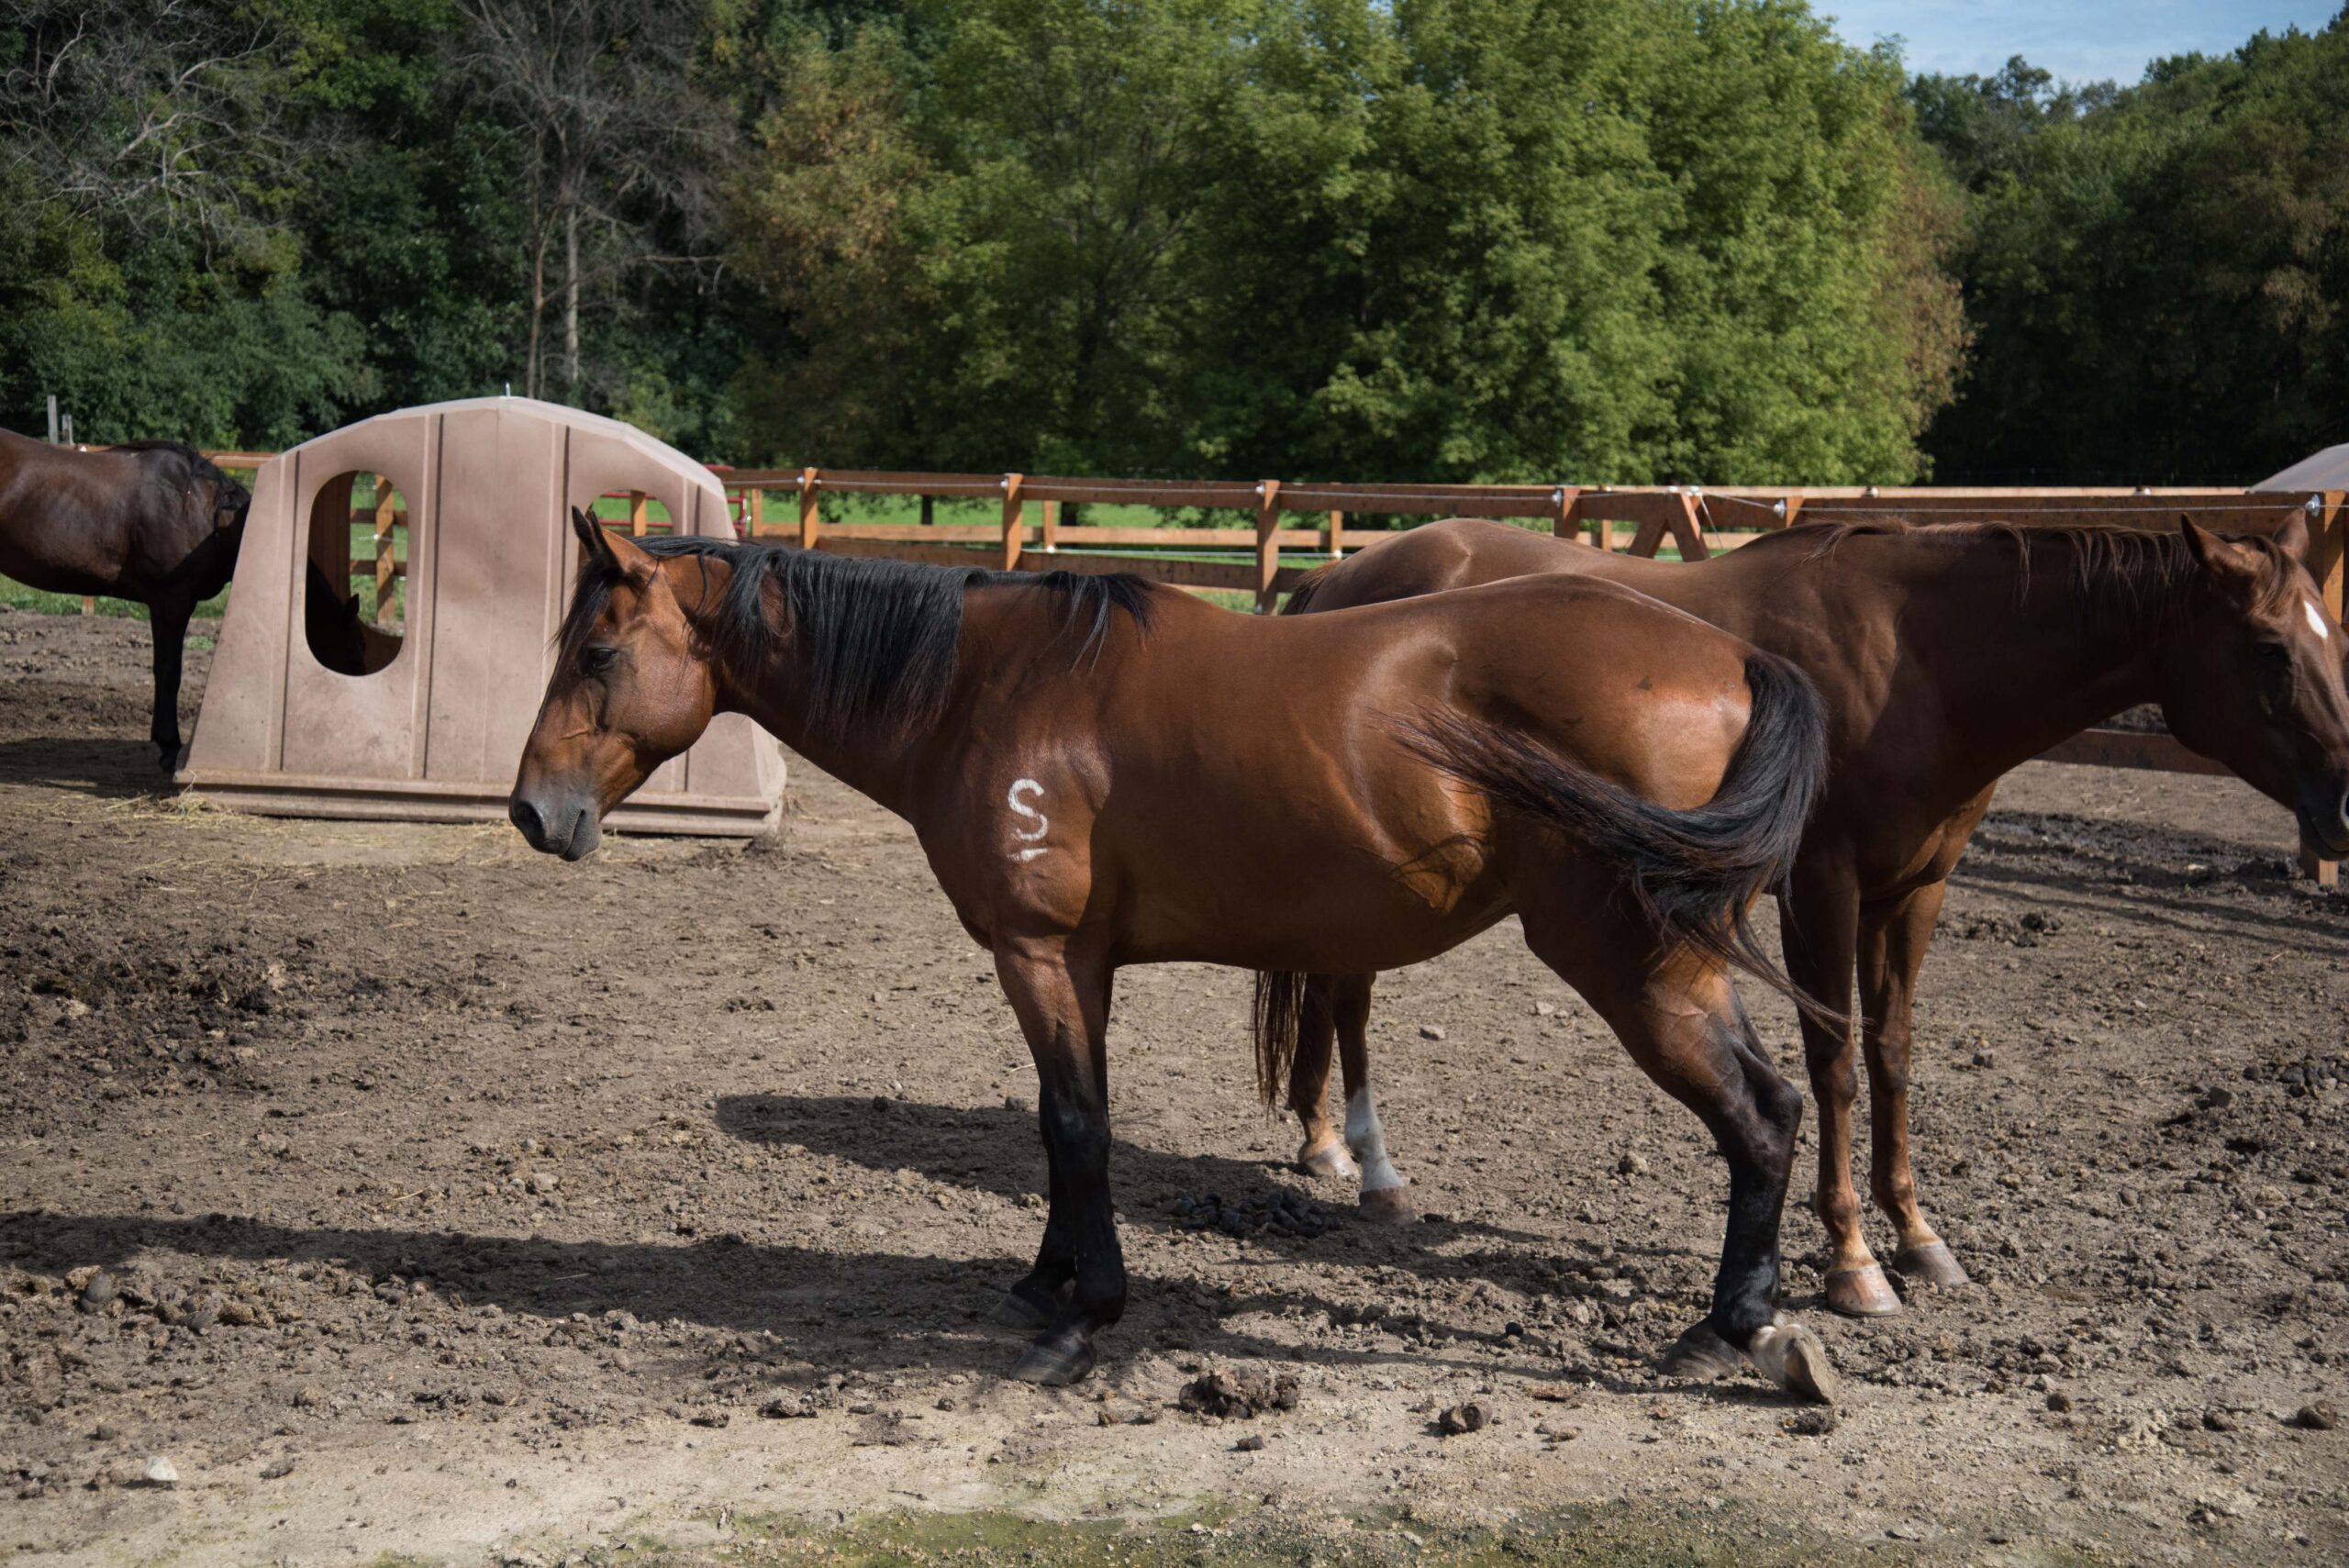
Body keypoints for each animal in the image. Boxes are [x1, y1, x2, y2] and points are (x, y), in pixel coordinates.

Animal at [510, 510, 1849, 1400]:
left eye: (595, 654)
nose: (534, 812)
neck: (984, 685)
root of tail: (1733, 659)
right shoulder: (1083, 966)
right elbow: (1067, 1119)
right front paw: (1050, 1280)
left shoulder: (1041, 954)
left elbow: (1076, 1125)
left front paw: (1083, 1315)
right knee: (1776, 1107)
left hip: (1636, 967)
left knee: (1759, 1115)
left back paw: (1726, 1328)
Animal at [1264, 512, 2349, 1318]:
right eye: (2268, 649)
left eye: (2329, 635)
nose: (2341, 800)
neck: (1920, 660)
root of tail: (1346, 577)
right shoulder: (1822, 886)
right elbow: (1833, 1061)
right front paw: (1853, 1260)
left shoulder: (1914, 890)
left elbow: (1894, 1052)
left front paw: (1918, 1236)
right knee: (1349, 994)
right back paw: (1368, 1164)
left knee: (1332, 983)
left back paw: (1327, 1141)